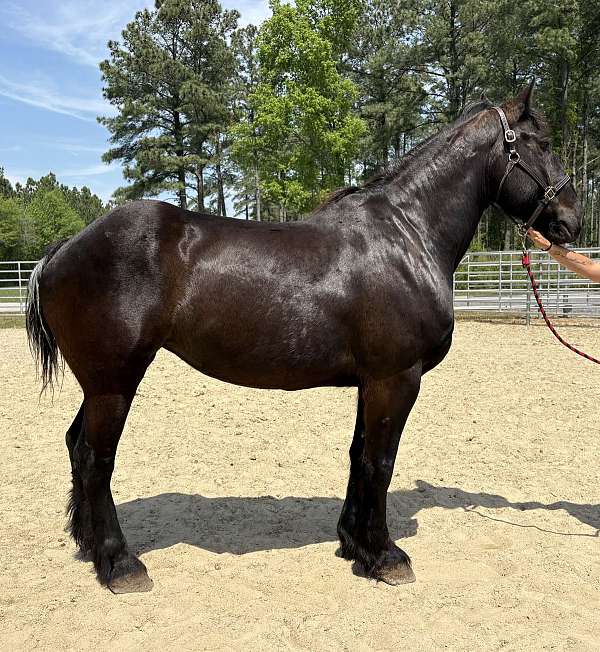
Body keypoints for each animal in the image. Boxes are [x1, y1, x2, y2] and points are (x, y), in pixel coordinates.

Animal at [26, 84, 582, 593]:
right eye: (543, 143)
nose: (571, 222)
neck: (407, 235)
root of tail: (62, 249)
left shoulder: (371, 381)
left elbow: (360, 456)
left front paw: (355, 544)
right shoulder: (396, 378)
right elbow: (381, 463)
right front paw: (386, 556)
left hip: (101, 384)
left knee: (76, 445)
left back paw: (90, 546)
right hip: (114, 383)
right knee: (95, 458)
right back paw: (121, 564)